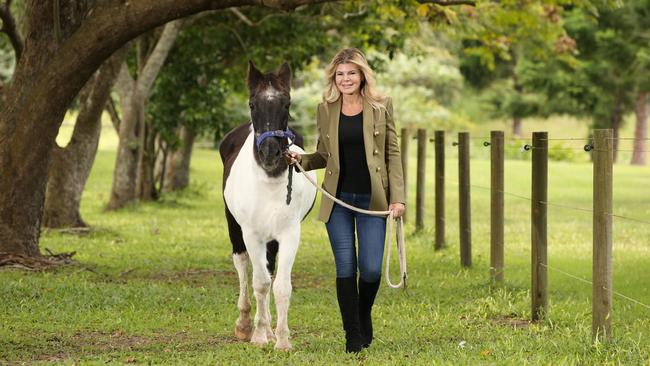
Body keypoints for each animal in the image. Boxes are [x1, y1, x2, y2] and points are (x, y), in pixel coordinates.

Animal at [220, 61, 316, 350]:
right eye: (253, 104)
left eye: (287, 103)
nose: (270, 154)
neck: (268, 181)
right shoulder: (252, 234)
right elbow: (260, 283)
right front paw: (260, 335)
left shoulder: (288, 235)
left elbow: (281, 285)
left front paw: (281, 340)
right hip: (235, 227)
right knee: (242, 265)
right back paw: (244, 325)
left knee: (269, 270)